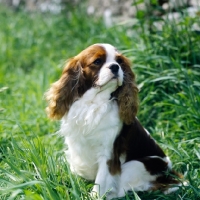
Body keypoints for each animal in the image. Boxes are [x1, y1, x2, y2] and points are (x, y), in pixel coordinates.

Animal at [45, 43, 183, 198]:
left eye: (119, 61)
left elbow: (100, 184)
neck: (94, 103)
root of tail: (170, 172)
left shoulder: (108, 155)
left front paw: (93, 196)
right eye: (98, 61)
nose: (115, 67)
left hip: (136, 165)